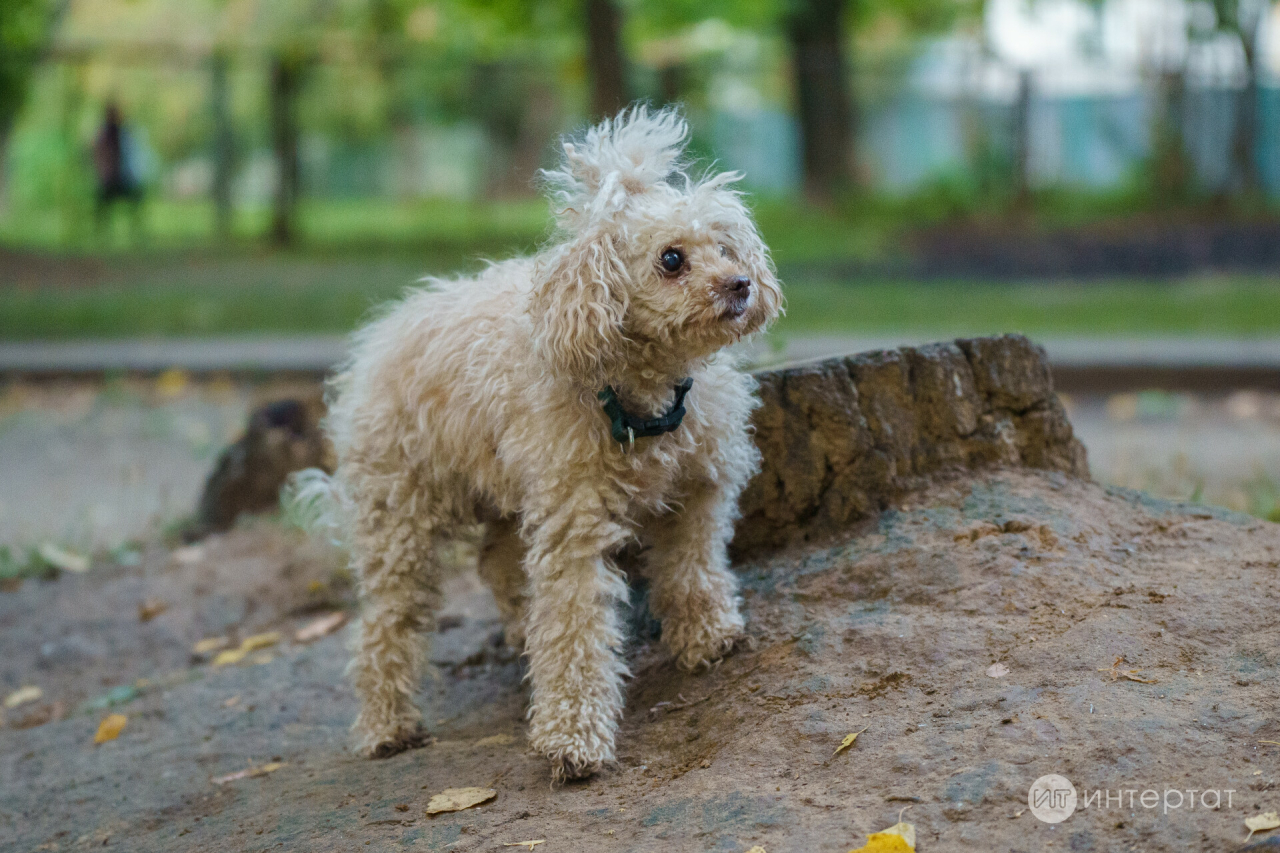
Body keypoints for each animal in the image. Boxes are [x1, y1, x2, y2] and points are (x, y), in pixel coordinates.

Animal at [316, 106, 783, 778]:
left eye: (726, 247)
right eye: (672, 259)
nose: (742, 284)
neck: (642, 400)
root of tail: (377, 340)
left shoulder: (699, 491)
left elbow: (694, 568)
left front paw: (708, 637)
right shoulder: (574, 527)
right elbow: (573, 627)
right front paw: (573, 738)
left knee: (497, 563)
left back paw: (515, 632)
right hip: (400, 515)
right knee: (386, 622)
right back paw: (386, 725)